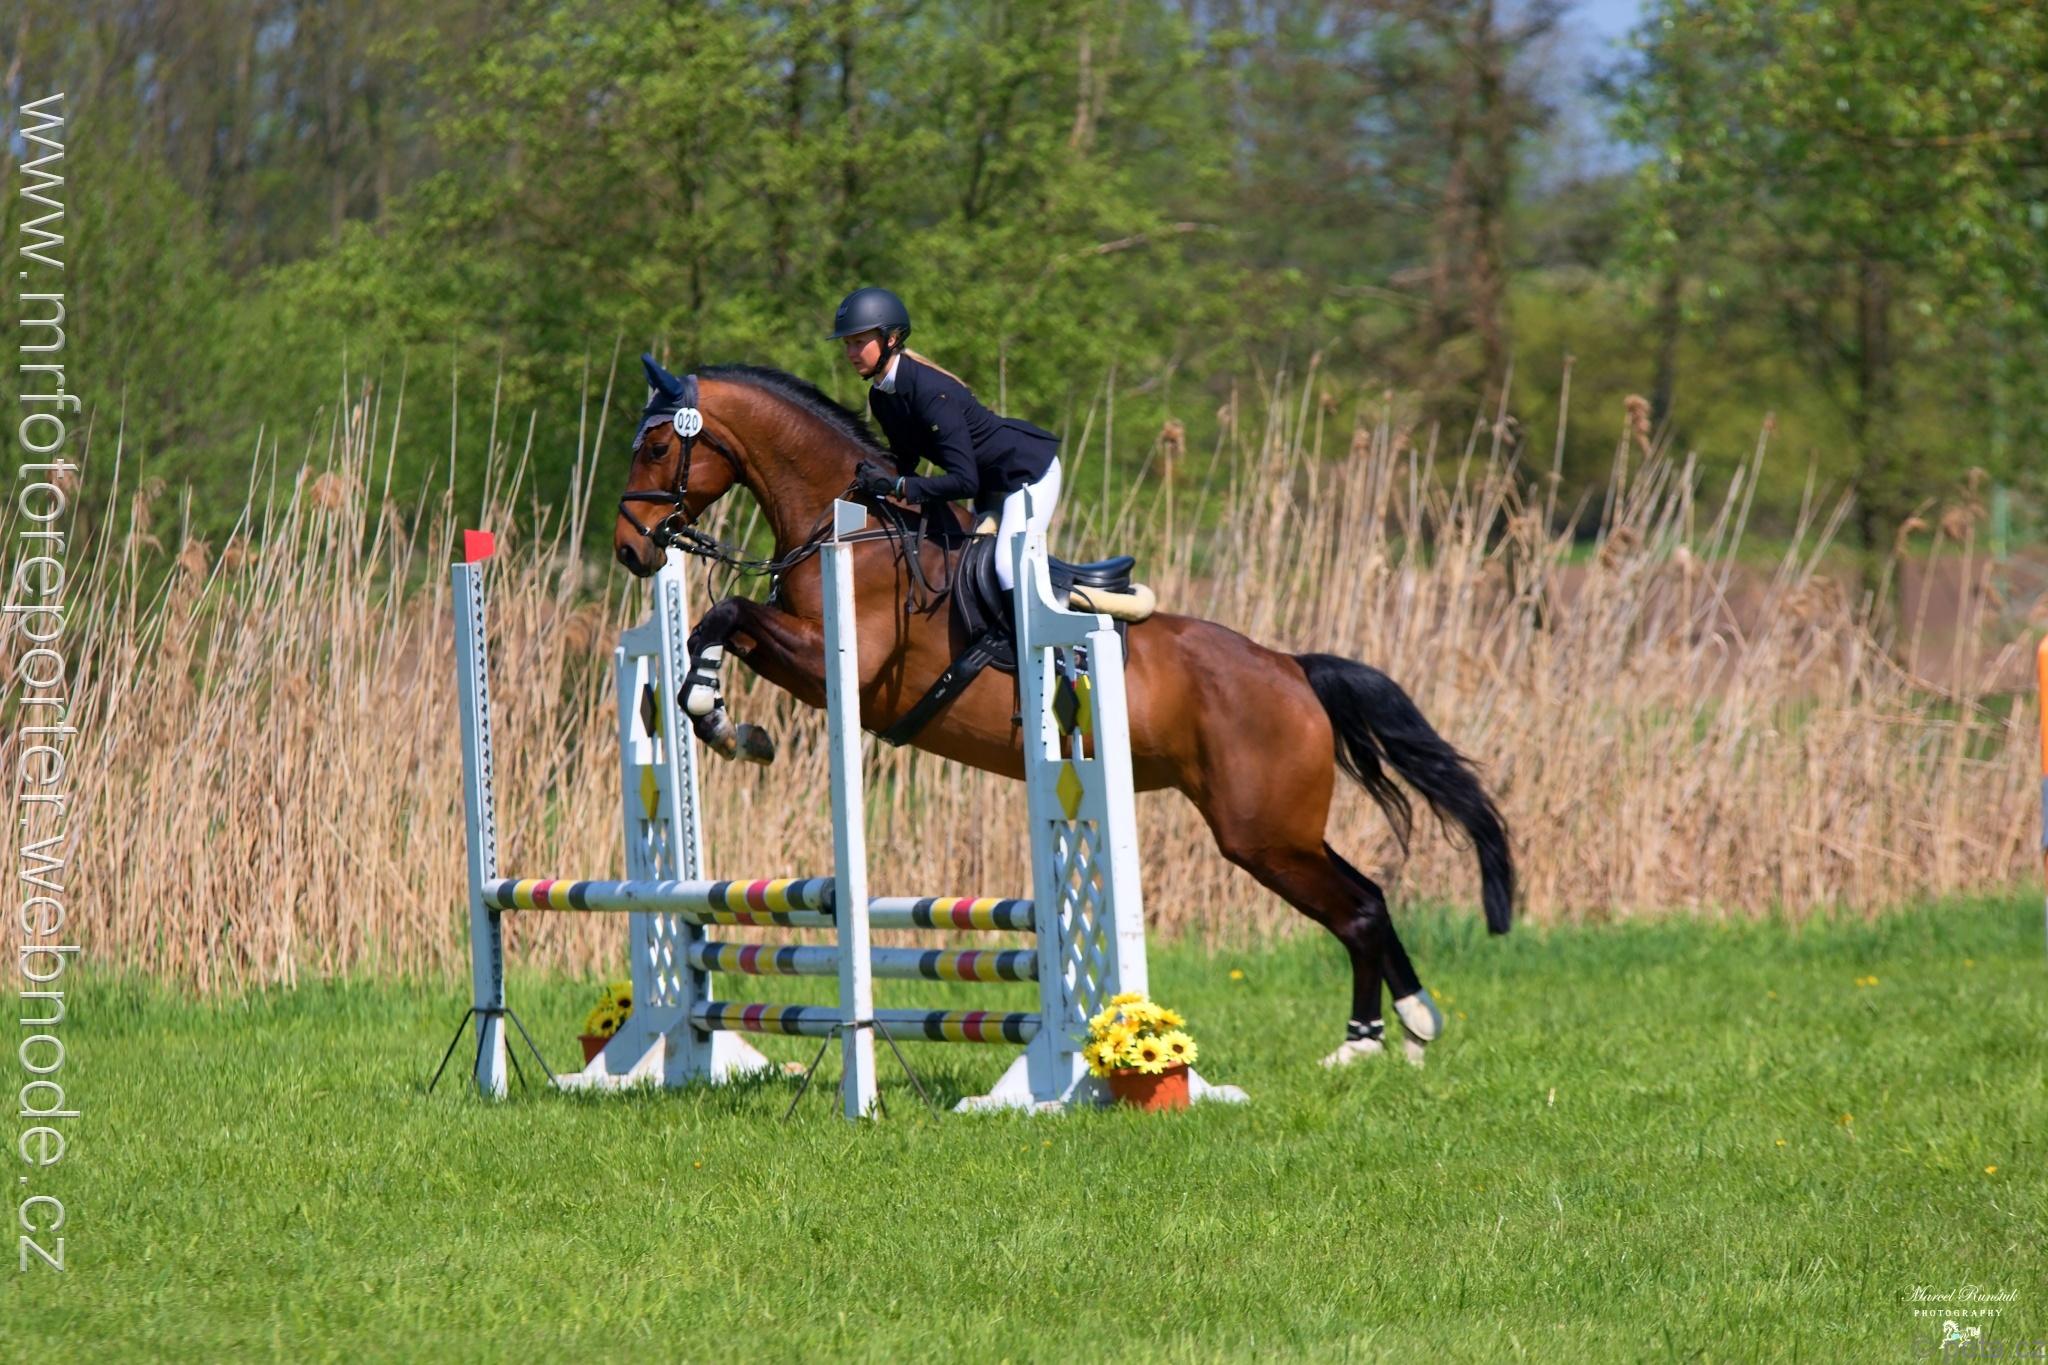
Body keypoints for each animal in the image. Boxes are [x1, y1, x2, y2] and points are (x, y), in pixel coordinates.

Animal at [612, 357, 1513, 1066]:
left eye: (657, 445)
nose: (630, 548)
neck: (856, 529)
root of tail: (1289, 667)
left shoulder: (838, 667)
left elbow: (726, 613)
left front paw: (723, 718)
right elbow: (714, 623)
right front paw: (725, 721)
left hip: (1262, 832)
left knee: (1355, 908)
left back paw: (1381, 1034)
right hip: (1278, 827)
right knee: (1368, 898)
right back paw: (1396, 1030)